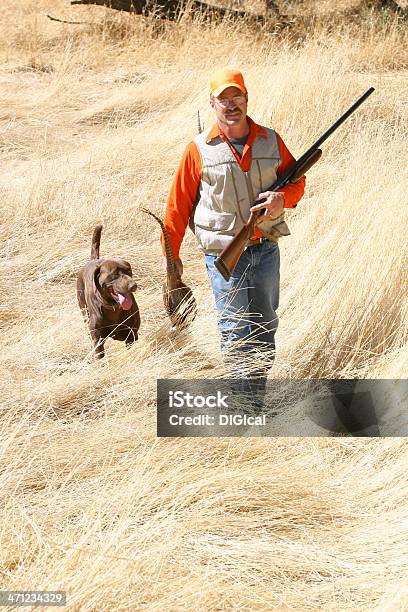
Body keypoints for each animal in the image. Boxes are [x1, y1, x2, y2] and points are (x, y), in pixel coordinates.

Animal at [77, 226, 141, 358]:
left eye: (129, 271)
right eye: (115, 274)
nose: (133, 286)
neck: (113, 308)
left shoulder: (132, 334)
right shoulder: (97, 340)